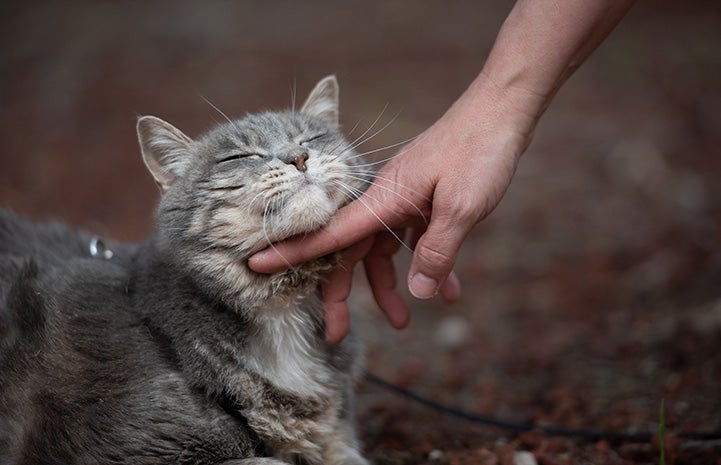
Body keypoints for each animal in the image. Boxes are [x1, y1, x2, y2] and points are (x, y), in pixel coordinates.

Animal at [0, 76, 372, 464]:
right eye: (240, 156)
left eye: (310, 139)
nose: (298, 157)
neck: (282, 313)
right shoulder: (127, 449)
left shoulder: (338, 442)